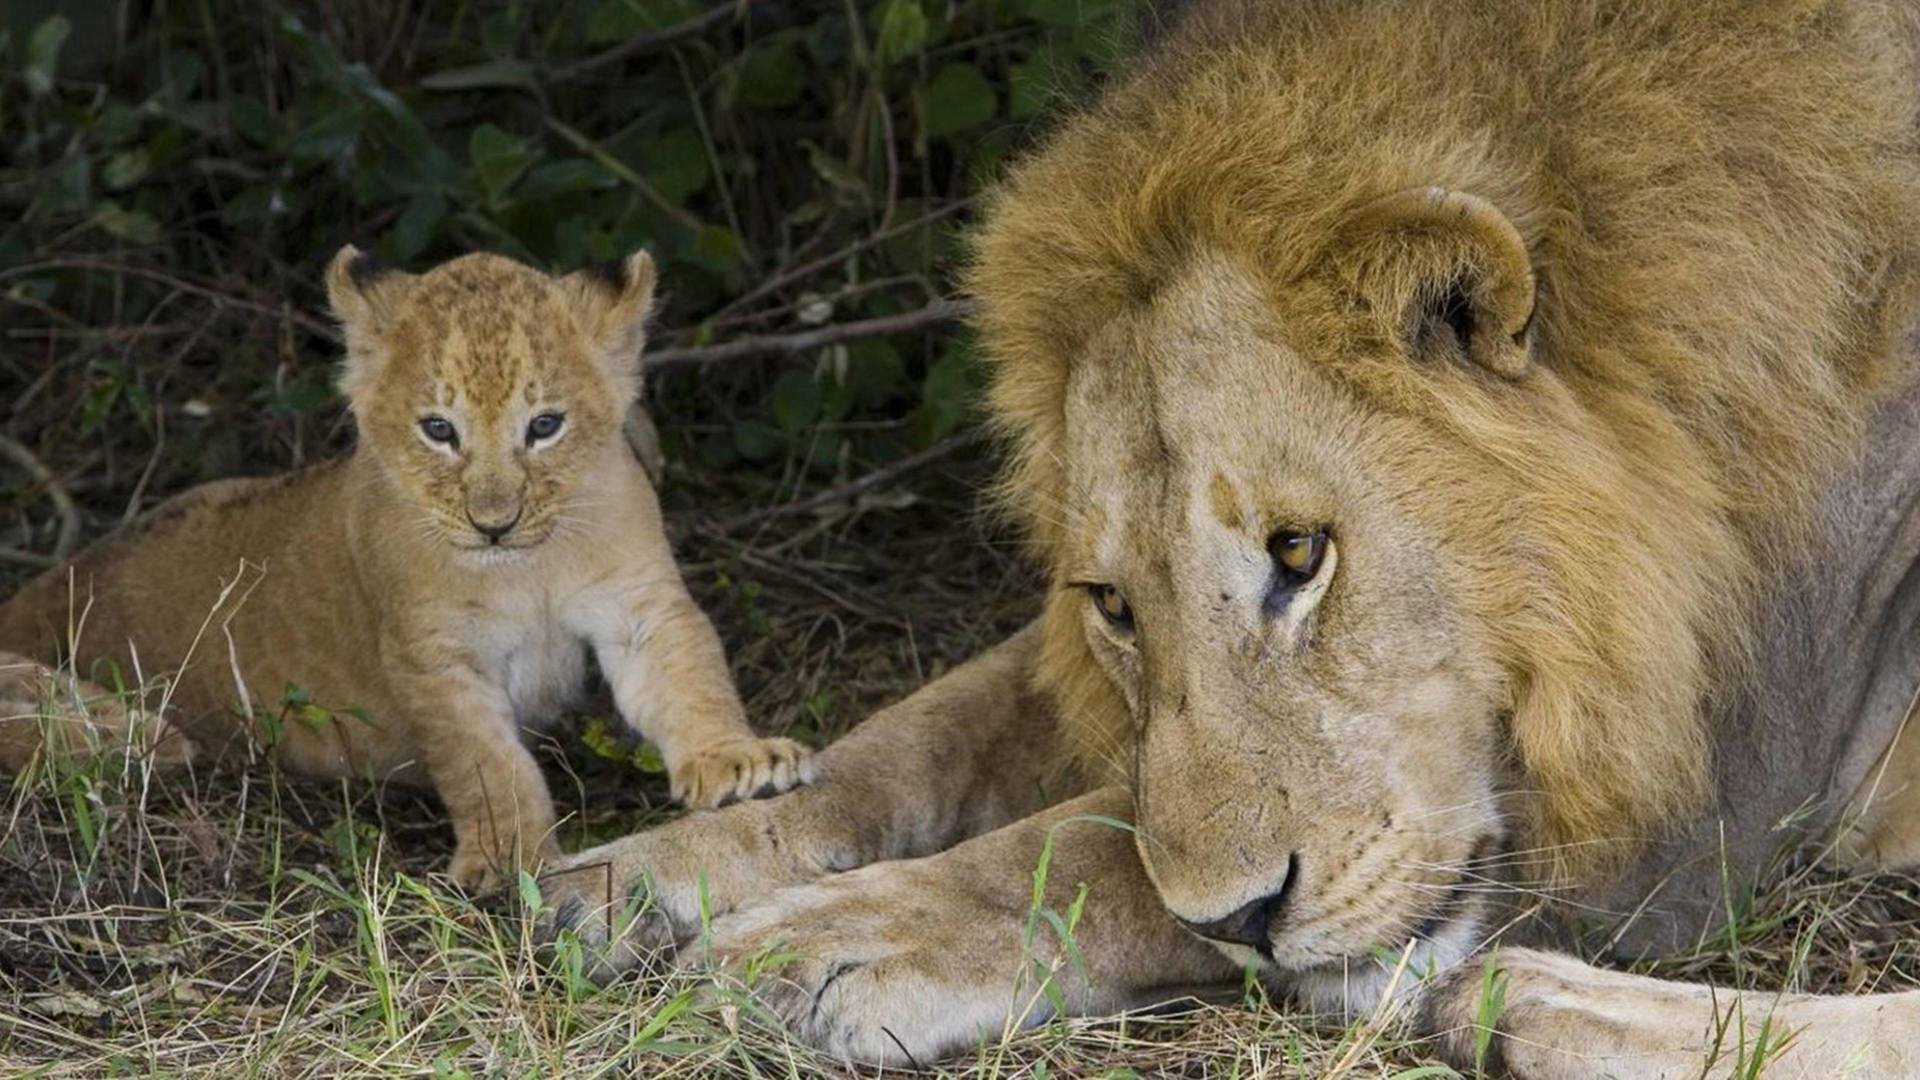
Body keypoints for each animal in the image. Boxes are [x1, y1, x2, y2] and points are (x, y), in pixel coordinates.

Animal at [549, 2, 1920, 1068]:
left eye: (1301, 554)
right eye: (1113, 605)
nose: (1238, 923)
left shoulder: (1714, 799)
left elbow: (1091, 845)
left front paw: (831, 937)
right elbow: (921, 738)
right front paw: (643, 873)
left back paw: (1539, 1009)